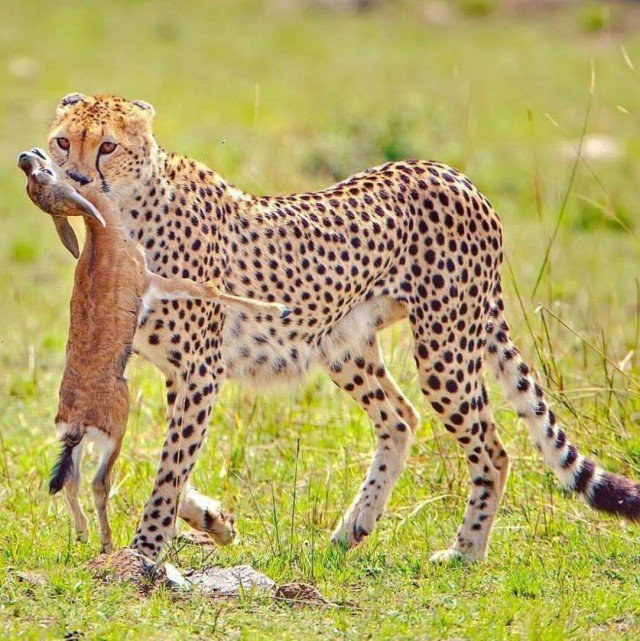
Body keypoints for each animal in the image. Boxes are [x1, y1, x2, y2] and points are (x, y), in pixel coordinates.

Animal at [33, 92, 640, 564]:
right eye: (64, 142)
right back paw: (356, 526)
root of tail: (452, 173)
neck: (128, 208)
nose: (76, 178)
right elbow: (160, 459)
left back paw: (465, 551)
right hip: (344, 345)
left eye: (107, 146)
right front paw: (212, 520)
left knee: (492, 448)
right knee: (400, 416)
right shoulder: (158, 365)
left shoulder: (200, 368)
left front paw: (147, 549)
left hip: (444, 346)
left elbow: (169, 464)